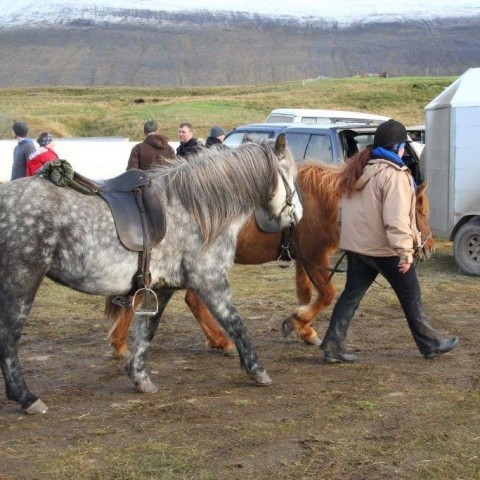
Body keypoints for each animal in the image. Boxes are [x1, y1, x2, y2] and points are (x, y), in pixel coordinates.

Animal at [106, 163, 436, 358]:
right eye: (419, 211)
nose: (429, 246)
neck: (322, 202)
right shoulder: (315, 256)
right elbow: (327, 295)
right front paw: (298, 322)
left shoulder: (304, 259)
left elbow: (306, 293)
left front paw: (305, 329)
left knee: (180, 299)